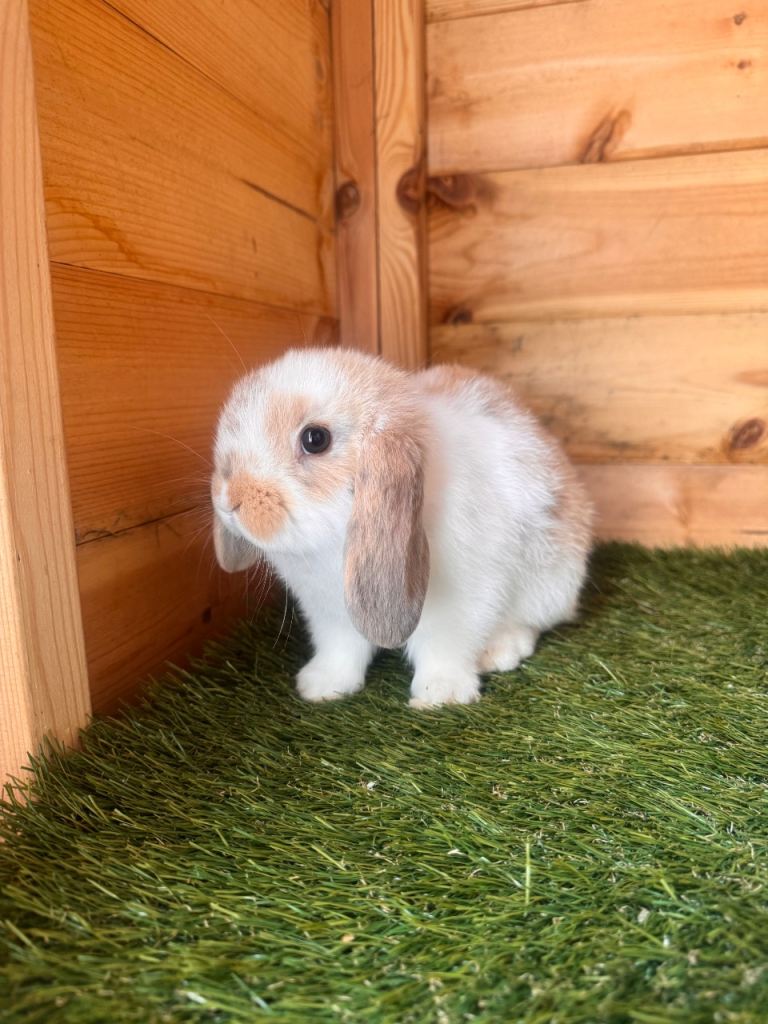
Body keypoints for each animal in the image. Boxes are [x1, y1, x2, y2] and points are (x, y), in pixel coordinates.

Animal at [211, 347, 592, 707]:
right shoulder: (331, 614)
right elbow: (340, 650)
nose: (229, 499)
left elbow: (445, 647)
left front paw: (441, 694)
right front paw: (321, 687)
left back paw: (500, 651)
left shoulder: (461, 601)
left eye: (315, 439)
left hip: (550, 585)